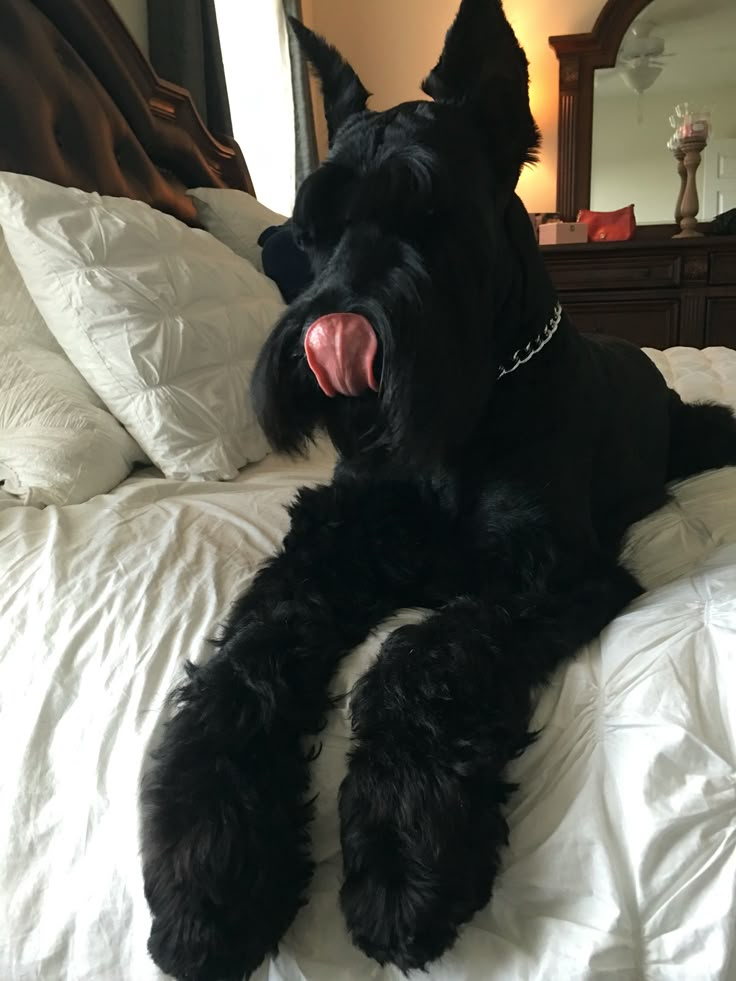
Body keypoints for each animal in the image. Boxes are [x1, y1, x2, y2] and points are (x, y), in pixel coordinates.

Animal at [141, 3, 736, 976]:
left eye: (431, 210)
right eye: (310, 227)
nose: (333, 336)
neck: (474, 406)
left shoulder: (547, 571)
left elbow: (420, 656)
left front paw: (401, 857)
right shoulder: (326, 549)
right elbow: (245, 663)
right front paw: (210, 872)